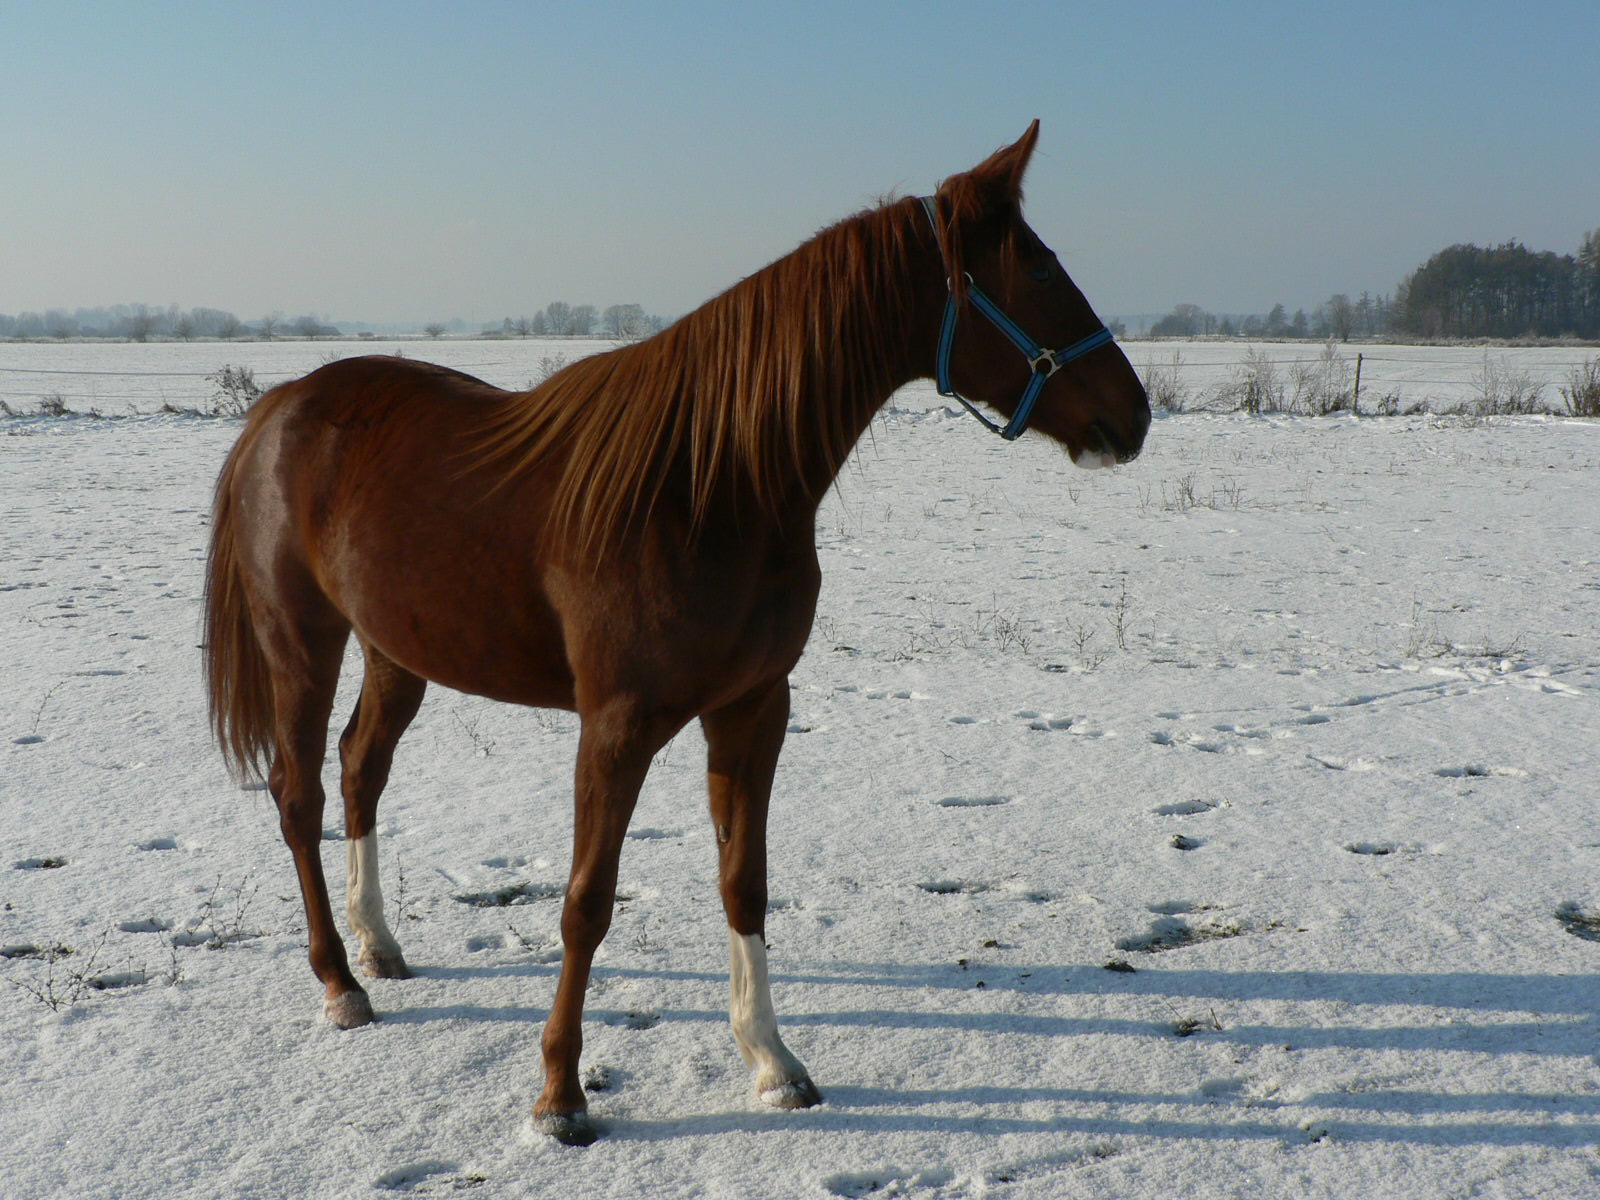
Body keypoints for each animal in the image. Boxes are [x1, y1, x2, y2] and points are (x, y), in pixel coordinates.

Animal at [206, 122, 1152, 1145]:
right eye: (1039, 273)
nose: (1135, 416)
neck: (709, 486)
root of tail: (279, 407)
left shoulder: (753, 709)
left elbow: (745, 881)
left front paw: (772, 1062)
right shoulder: (616, 726)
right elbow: (586, 902)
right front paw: (560, 1094)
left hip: (397, 649)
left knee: (359, 769)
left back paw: (379, 945)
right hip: (302, 641)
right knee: (298, 793)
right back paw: (340, 983)